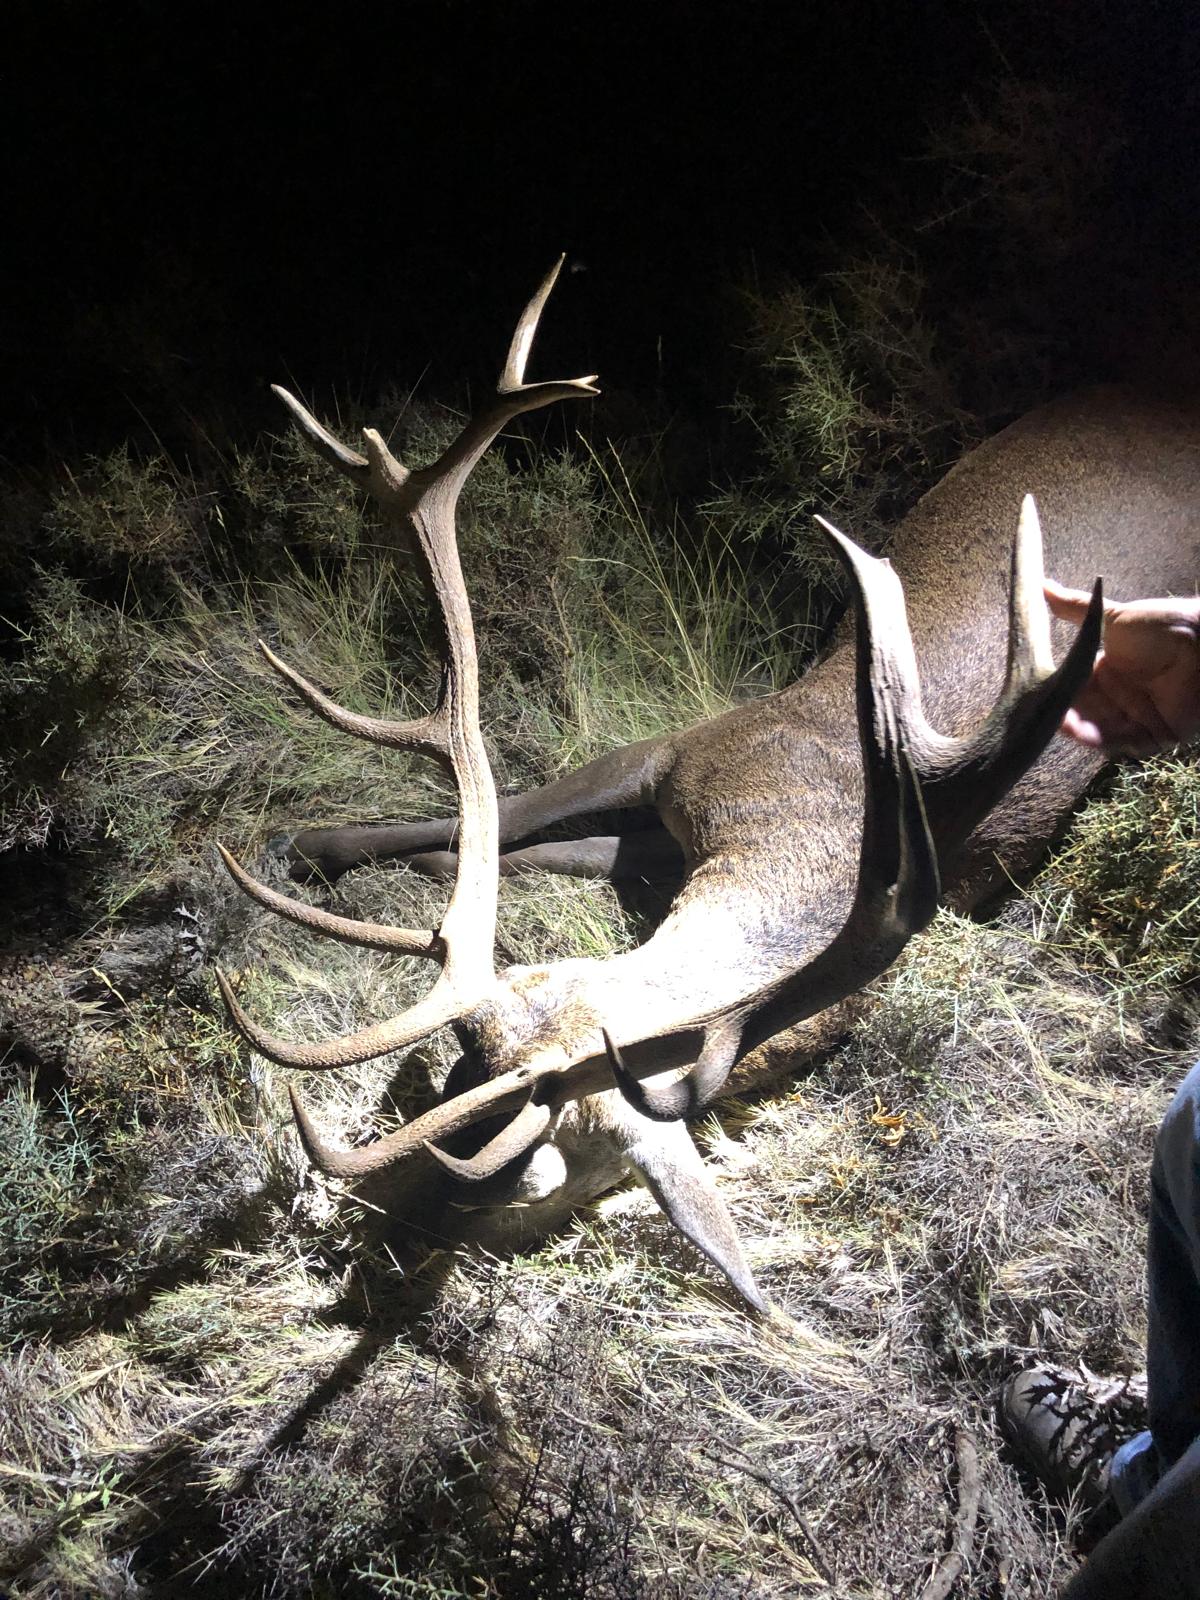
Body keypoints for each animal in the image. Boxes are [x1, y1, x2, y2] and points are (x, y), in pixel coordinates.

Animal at [214, 259, 1200, 1312]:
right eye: (452, 1073)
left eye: (517, 1191)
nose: (372, 1255)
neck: (806, 857)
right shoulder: (695, 749)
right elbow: (517, 812)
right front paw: (314, 847)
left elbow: (533, 840)